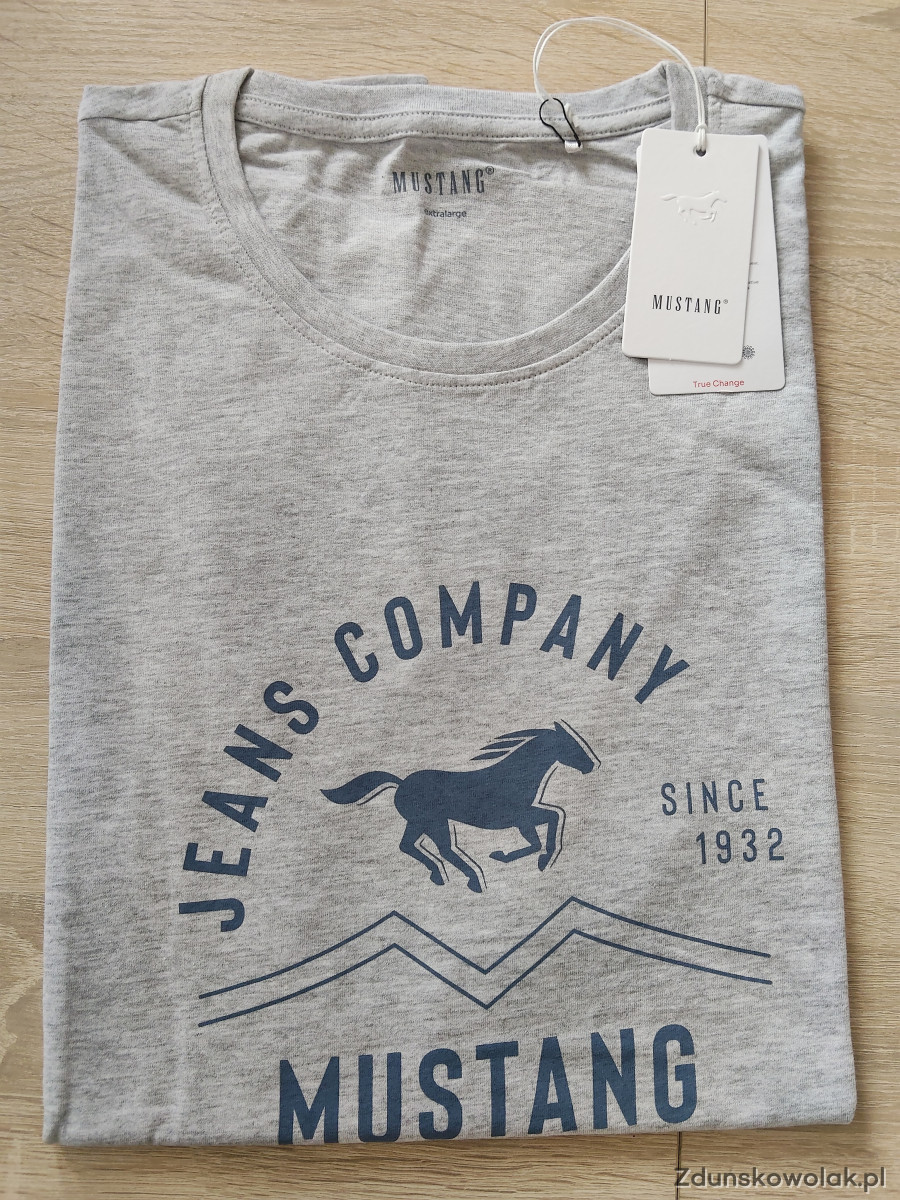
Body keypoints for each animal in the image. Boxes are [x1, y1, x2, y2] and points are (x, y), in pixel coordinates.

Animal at [321, 721, 600, 893]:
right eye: (572, 744)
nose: (592, 765)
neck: (517, 775)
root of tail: (401, 784)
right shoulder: (519, 816)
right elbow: (555, 817)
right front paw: (543, 859)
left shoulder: (522, 820)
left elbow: (539, 836)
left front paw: (507, 856)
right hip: (434, 822)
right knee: (445, 849)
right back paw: (474, 880)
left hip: (419, 823)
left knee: (408, 846)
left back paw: (440, 875)